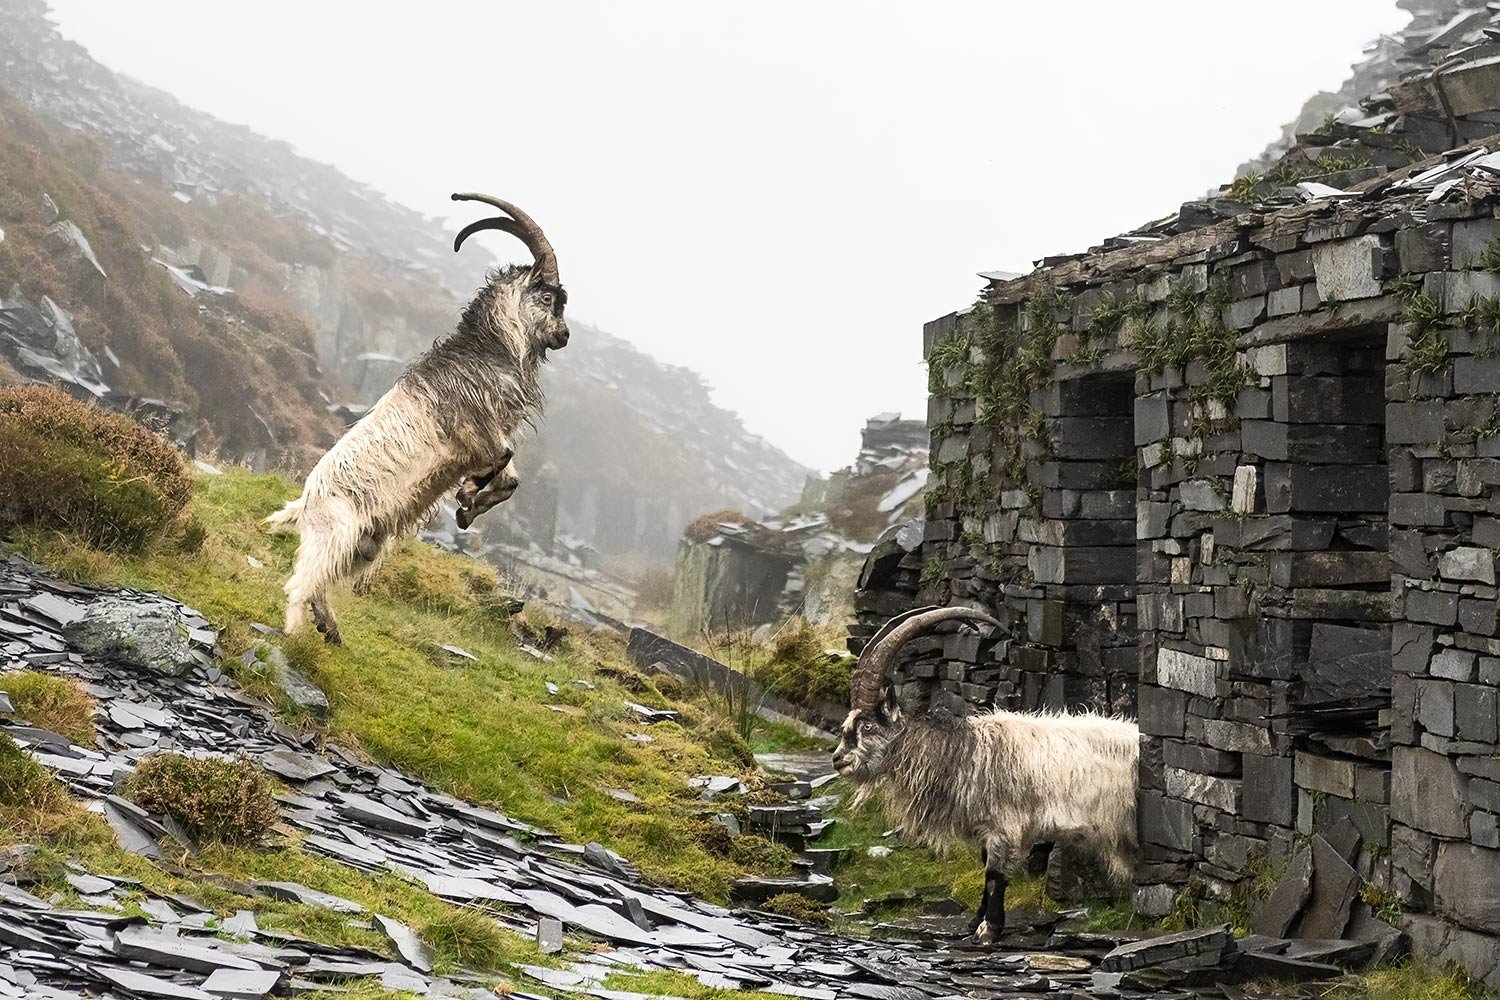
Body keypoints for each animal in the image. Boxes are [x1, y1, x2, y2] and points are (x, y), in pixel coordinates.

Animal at [266, 193, 569, 644]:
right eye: (548, 297)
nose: (564, 336)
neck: (486, 352)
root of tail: (304, 504)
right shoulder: (474, 428)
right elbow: (501, 458)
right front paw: (466, 495)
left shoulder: (492, 432)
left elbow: (511, 479)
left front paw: (467, 511)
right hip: (336, 532)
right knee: (299, 584)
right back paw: (295, 635)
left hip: (364, 546)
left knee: (321, 581)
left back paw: (329, 627)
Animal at [832, 606, 1138, 946]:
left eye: (867, 726)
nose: (838, 760)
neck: (965, 752)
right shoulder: (986, 826)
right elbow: (984, 867)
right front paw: (974, 922)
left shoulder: (1005, 827)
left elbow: (994, 874)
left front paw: (989, 930)